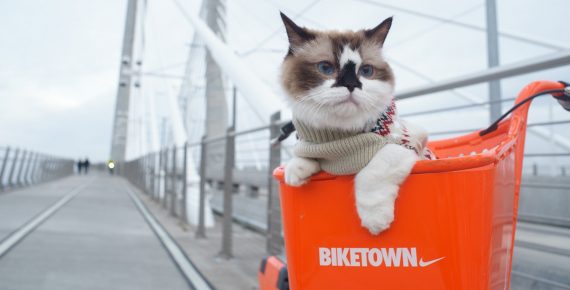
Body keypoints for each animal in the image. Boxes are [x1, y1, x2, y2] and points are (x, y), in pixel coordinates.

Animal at [278, 13, 430, 236]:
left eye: (366, 71)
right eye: (325, 68)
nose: (351, 85)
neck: (341, 137)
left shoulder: (408, 144)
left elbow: (372, 172)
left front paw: (375, 220)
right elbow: (303, 154)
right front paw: (296, 172)